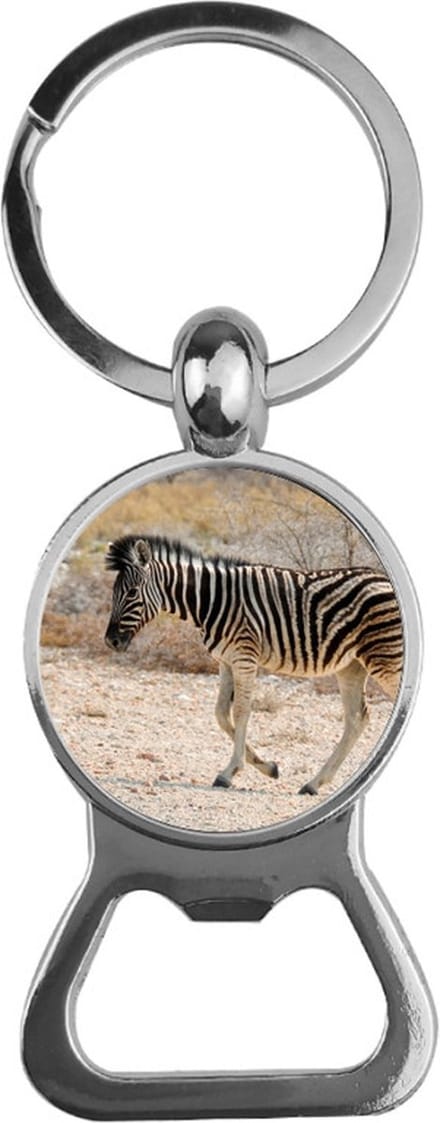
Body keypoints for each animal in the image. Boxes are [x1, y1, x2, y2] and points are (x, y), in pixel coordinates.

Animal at [104, 535, 402, 793]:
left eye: (131, 593)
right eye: (114, 593)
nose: (110, 641)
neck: (212, 601)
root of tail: (383, 578)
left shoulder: (244, 658)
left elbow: (241, 712)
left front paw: (230, 772)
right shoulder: (225, 661)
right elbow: (221, 714)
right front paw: (267, 767)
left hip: (386, 658)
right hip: (352, 666)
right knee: (356, 718)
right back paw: (314, 783)